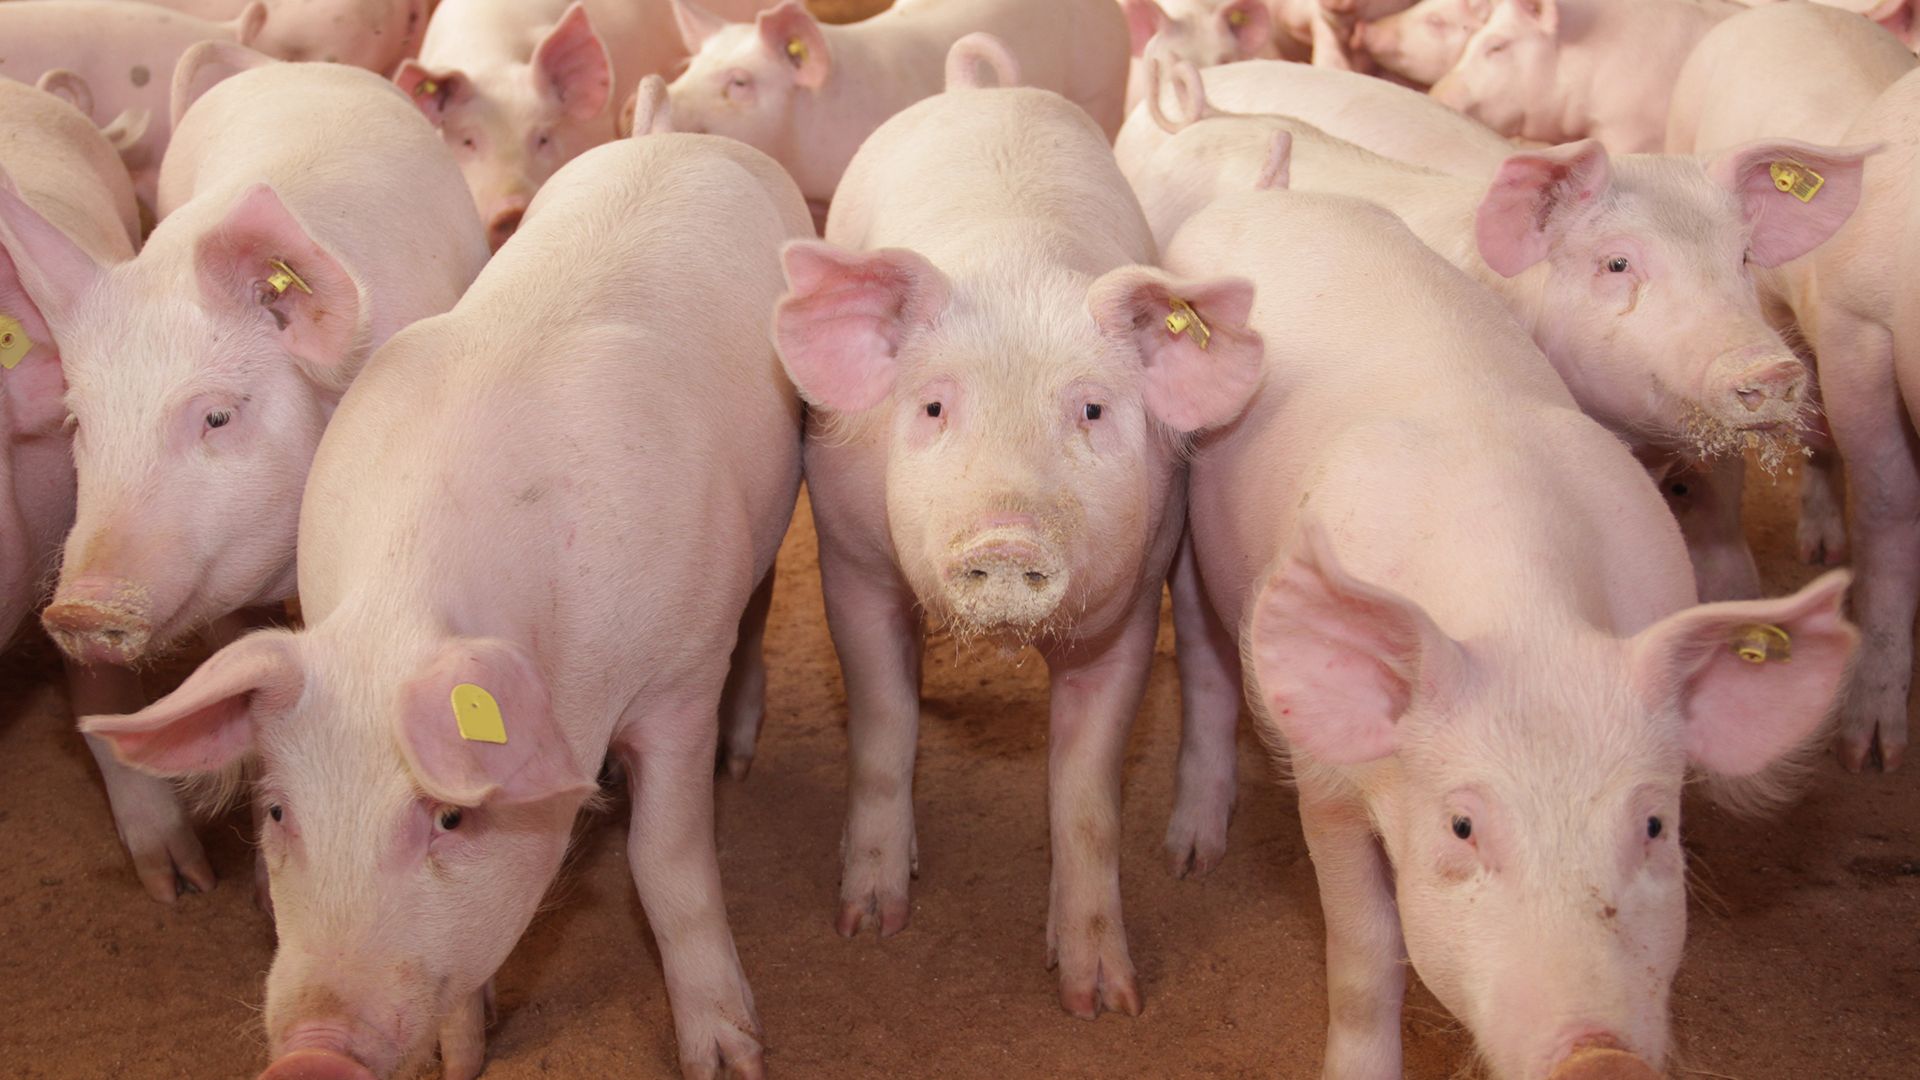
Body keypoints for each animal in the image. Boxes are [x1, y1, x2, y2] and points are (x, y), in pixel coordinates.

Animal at [79, 131, 808, 1080]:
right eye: (277, 811)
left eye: (449, 817)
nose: (312, 1055)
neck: (404, 608)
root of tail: (689, 137)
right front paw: (464, 1055)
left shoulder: (678, 680)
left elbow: (667, 862)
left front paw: (729, 1060)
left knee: (757, 610)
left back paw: (740, 754)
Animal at [771, 44, 1262, 1017]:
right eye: (932, 407)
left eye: (1092, 410)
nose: (1005, 538)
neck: (1018, 264)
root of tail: (978, 87)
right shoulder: (848, 560)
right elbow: (882, 727)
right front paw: (869, 922)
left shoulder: (1127, 606)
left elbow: (1087, 797)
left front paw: (1103, 999)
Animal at [1166, 185, 1855, 1080]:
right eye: (1463, 825)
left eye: (1654, 826)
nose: (1600, 1058)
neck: (1527, 618)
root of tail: (1273, 195)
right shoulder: (1327, 783)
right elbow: (1366, 954)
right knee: (1205, 660)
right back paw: (1192, 854)